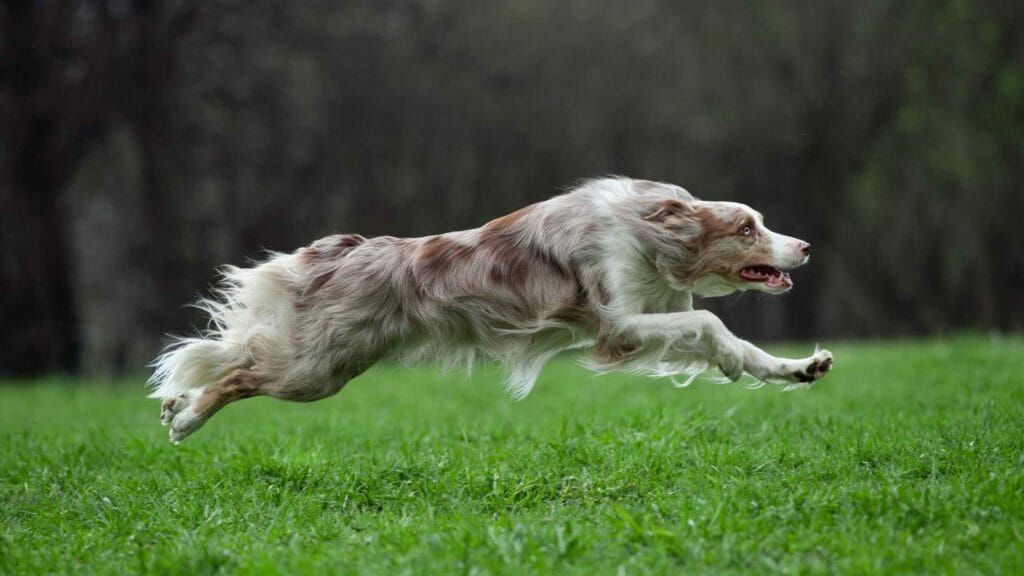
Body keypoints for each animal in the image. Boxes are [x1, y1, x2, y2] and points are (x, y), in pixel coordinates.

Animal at [155, 177, 835, 440]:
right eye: (747, 228)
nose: (805, 245)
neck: (649, 234)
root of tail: (338, 252)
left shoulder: (643, 320)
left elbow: (734, 341)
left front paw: (794, 369)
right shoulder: (616, 325)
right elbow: (710, 319)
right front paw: (733, 359)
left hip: (328, 361)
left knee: (234, 355)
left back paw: (175, 403)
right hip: (311, 371)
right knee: (239, 373)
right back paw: (186, 417)